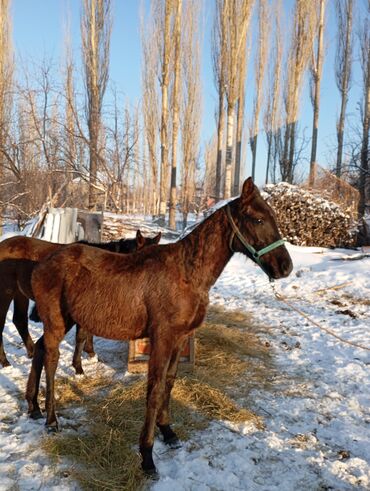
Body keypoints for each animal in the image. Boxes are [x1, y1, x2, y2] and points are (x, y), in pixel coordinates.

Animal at [0, 231, 161, 368]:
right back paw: (5, 362)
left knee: (20, 320)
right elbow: (81, 335)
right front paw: (80, 365)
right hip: (6, 293)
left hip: (20, 294)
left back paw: (32, 352)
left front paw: (90, 353)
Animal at [26, 179, 292, 474]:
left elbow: (169, 383)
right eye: (258, 219)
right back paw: (51, 420)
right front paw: (147, 455)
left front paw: (168, 432)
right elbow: (153, 391)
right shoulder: (162, 338)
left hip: (67, 319)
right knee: (50, 358)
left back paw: (34, 407)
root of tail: (43, 263)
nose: (285, 267)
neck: (186, 273)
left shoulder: (180, 338)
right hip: (56, 322)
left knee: (40, 350)